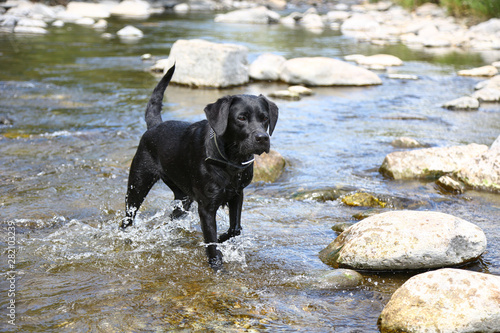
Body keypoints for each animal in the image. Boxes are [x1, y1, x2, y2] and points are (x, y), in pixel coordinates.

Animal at [119, 65, 280, 270]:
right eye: (241, 118)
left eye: (264, 118)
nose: (262, 138)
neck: (230, 162)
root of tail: (154, 126)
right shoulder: (206, 207)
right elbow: (211, 241)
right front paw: (217, 266)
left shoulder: (237, 195)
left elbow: (235, 229)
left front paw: (222, 238)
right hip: (138, 185)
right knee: (127, 218)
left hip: (183, 197)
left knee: (173, 217)